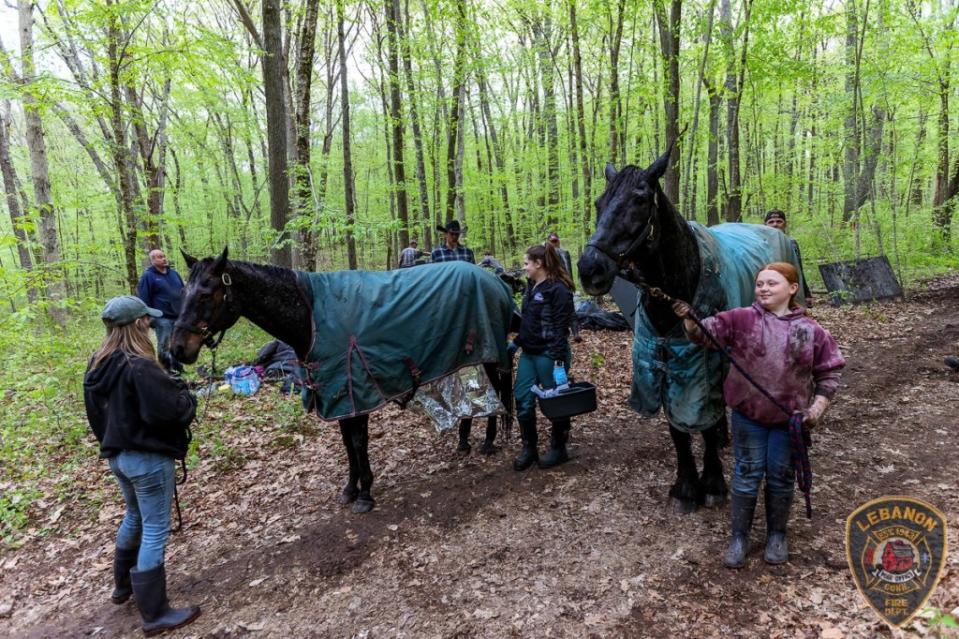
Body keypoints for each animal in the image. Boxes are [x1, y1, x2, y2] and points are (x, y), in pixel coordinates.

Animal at [169, 250, 512, 516]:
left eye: (205, 294)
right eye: (182, 293)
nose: (177, 349)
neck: (310, 317)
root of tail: (493, 279)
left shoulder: (354, 393)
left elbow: (358, 442)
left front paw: (365, 494)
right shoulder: (337, 397)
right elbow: (348, 444)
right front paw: (350, 488)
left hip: (491, 354)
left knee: (498, 393)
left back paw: (489, 442)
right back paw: (472, 442)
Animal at [576, 150, 728, 516]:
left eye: (640, 199)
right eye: (599, 202)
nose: (589, 269)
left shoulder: (704, 365)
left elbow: (707, 421)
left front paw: (713, 483)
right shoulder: (665, 364)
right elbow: (678, 430)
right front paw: (686, 487)